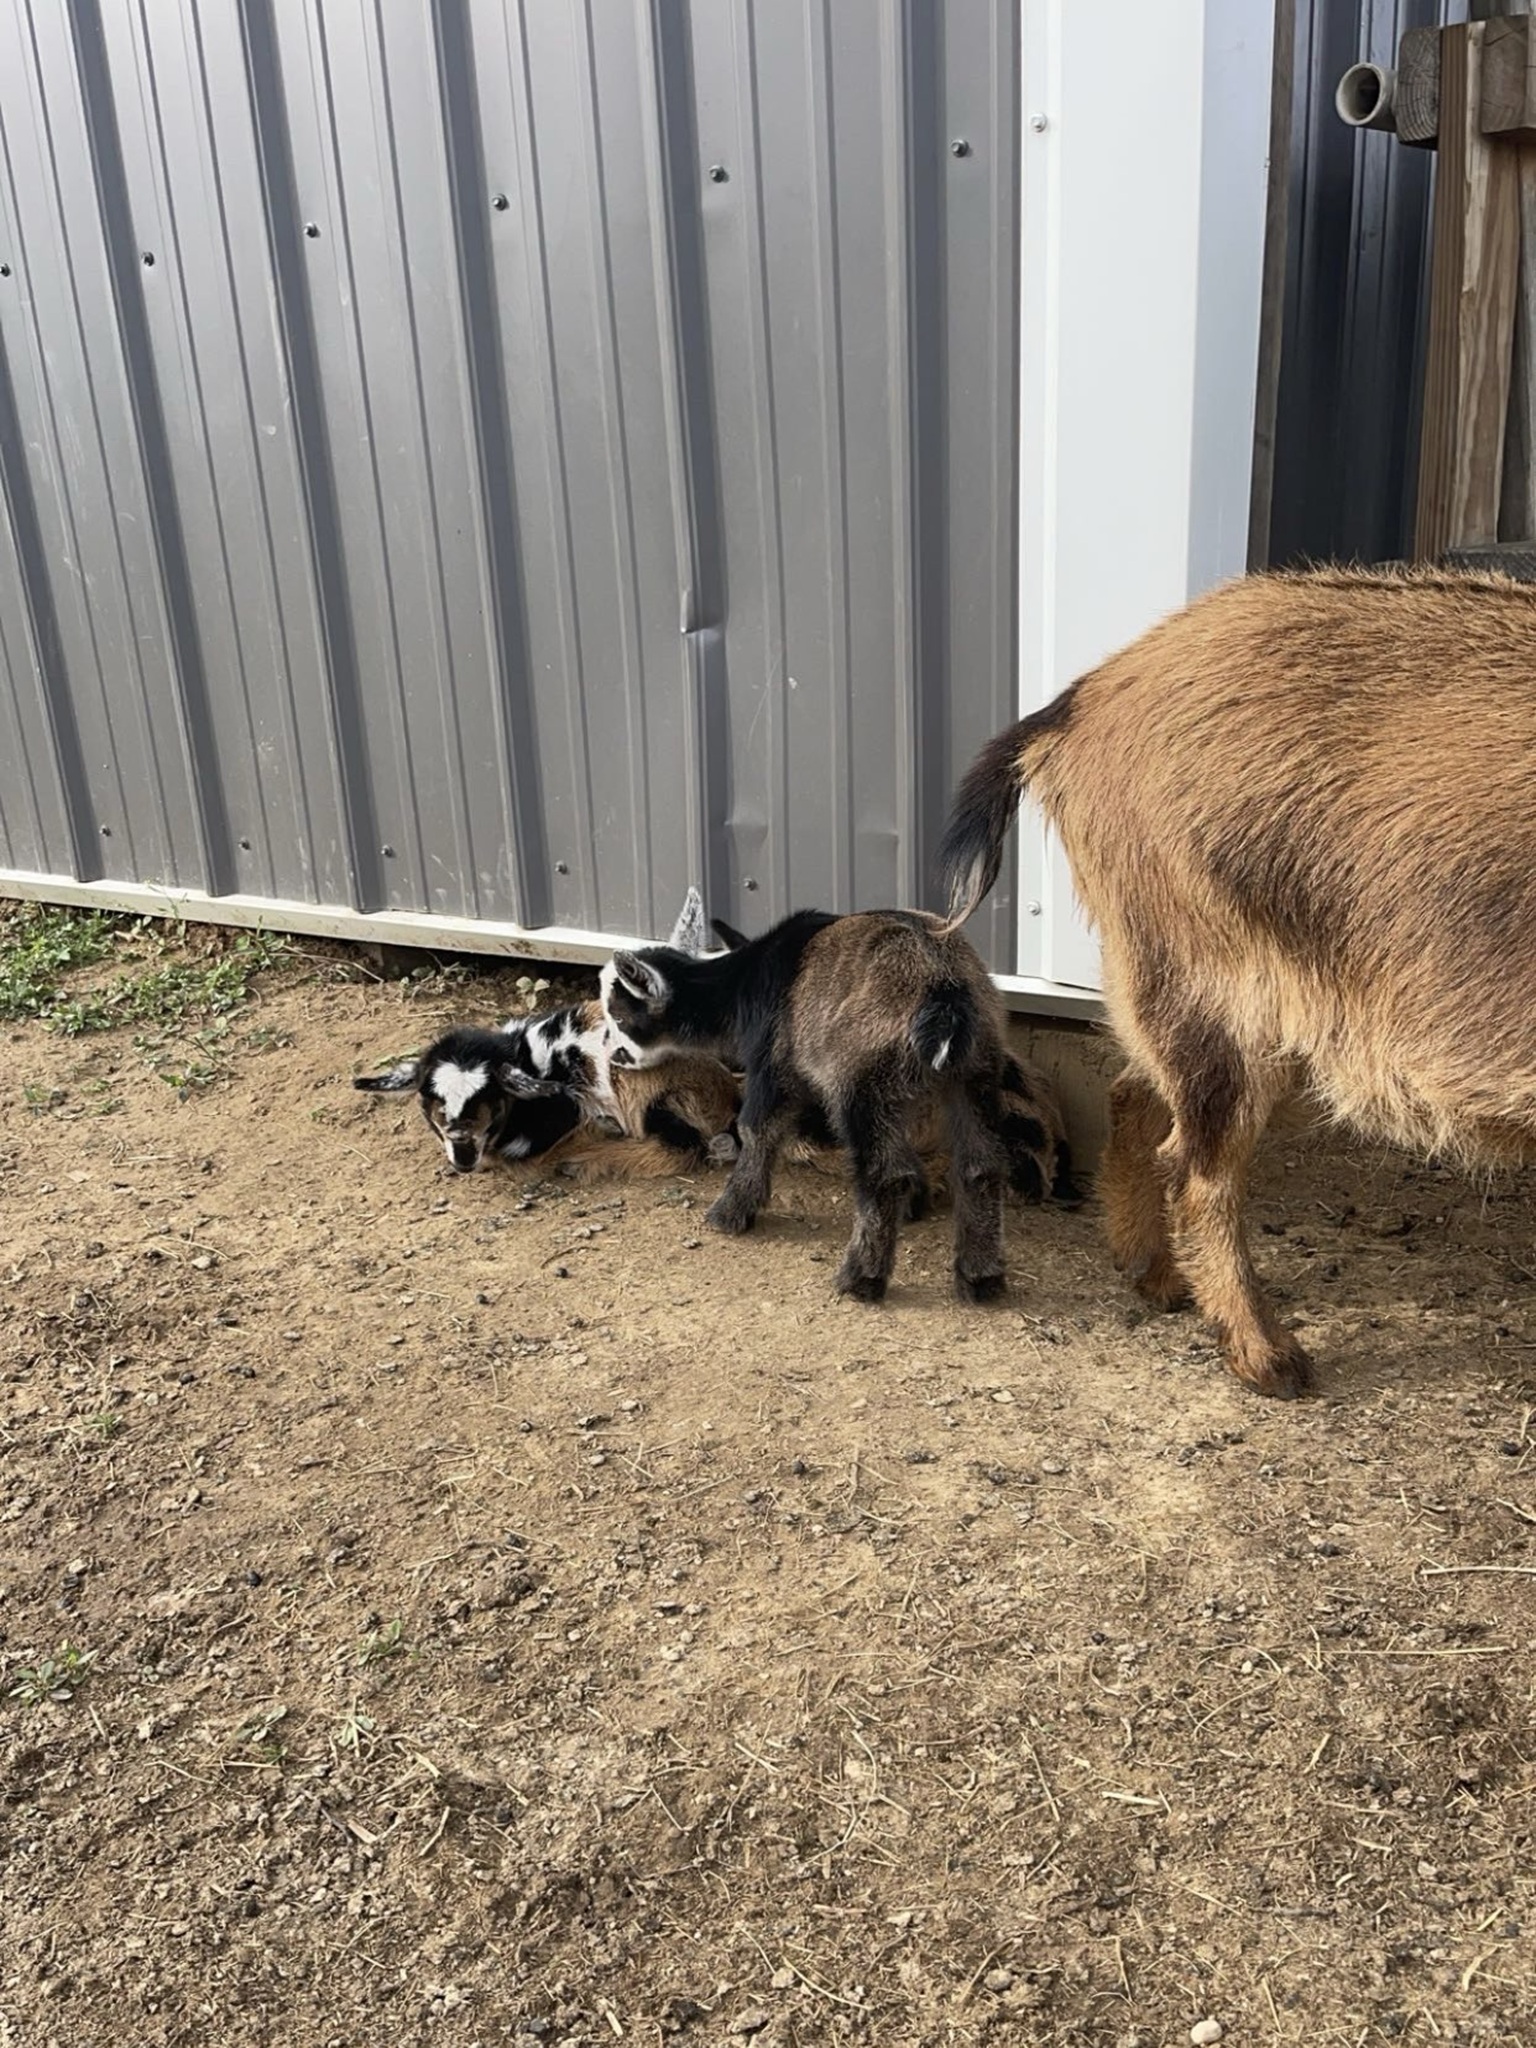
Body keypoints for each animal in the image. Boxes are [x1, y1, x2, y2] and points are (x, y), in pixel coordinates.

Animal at [600, 908, 1026, 1303]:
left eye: (619, 1016)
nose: (614, 1058)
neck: (740, 986)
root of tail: (943, 991)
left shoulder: (771, 1059)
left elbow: (755, 1128)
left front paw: (731, 1212)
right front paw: (917, 1200)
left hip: (864, 1076)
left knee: (883, 1173)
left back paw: (861, 1279)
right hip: (977, 1068)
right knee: (980, 1166)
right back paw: (981, 1277)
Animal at [938, 564, 1536, 1398]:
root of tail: (1085, 698)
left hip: (1172, 978)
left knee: (1134, 1097)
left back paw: (1156, 1277)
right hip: (1217, 984)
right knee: (1197, 1169)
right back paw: (1266, 1356)